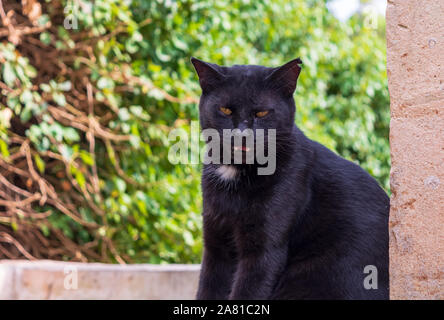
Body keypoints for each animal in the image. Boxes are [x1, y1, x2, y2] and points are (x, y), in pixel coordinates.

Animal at [191, 57, 388, 300]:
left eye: (262, 113)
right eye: (225, 110)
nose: (242, 135)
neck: (237, 172)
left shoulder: (264, 252)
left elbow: (248, 292)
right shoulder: (216, 246)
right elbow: (208, 289)